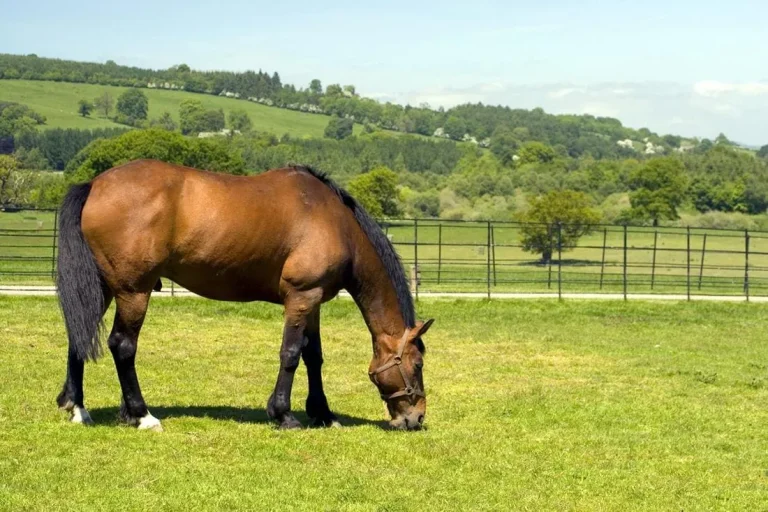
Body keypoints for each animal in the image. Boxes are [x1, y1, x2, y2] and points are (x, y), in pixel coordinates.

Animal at [55, 159, 433, 432]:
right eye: (417, 364)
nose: (416, 418)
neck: (335, 222)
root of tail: (94, 185)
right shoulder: (301, 298)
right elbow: (291, 354)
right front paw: (283, 415)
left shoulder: (313, 304)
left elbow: (313, 357)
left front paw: (323, 413)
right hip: (134, 291)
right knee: (122, 346)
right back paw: (142, 415)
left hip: (103, 287)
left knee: (79, 336)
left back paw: (78, 408)